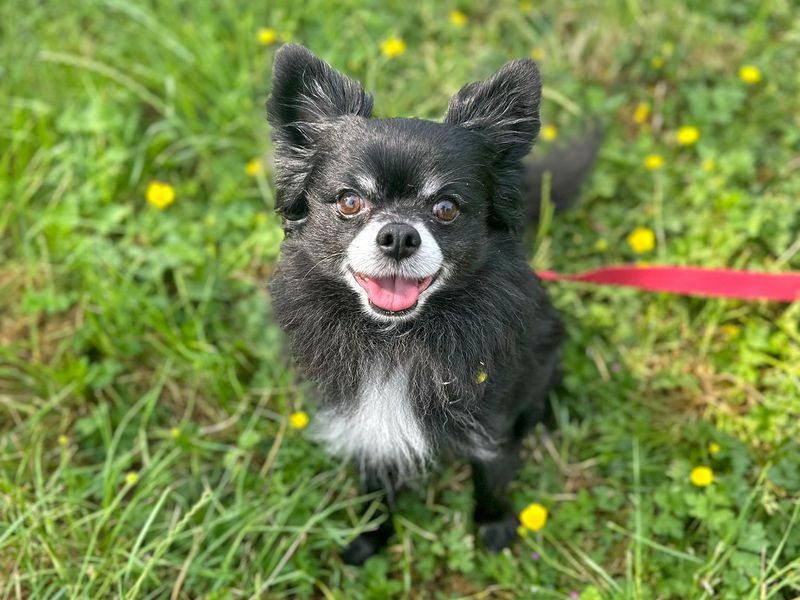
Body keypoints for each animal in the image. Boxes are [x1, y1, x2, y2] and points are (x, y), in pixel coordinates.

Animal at [266, 44, 596, 564]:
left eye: (446, 208)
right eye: (349, 202)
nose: (399, 235)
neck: (398, 337)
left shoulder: (490, 422)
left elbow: (491, 476)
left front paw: (494, 526)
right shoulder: (367, 421)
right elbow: (376, 485)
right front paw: (371, 537)